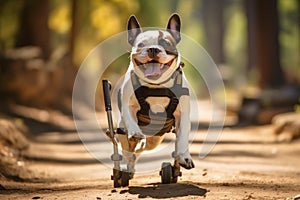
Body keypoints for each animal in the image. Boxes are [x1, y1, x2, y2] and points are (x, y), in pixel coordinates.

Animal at [117, 13, 195, 174]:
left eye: (166, 44)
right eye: (141, 45)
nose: (153, 49)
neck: (156, 85)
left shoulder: (182, 115)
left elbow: (182, 138)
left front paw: (184, 157)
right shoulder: (128, 106)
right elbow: (131, 120)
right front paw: (135, 133)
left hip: (155, 139)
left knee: (140, 149)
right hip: (122, 131)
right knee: (128, 150)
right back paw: (126, 165)